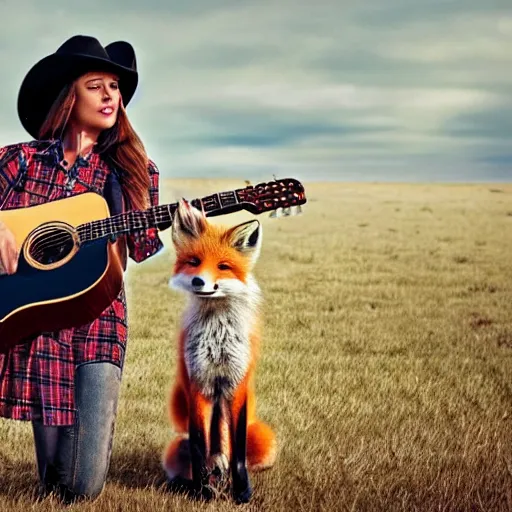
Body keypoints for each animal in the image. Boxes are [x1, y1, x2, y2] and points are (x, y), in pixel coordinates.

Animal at [163, 198, 276, 502]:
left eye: (223, 266)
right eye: (194, 262)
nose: (198, 282)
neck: (216, 339)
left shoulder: (236, 383)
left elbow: (237, 450)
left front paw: (242, 493)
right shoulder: (198, 382)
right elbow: (200, 445)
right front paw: (202, 492)